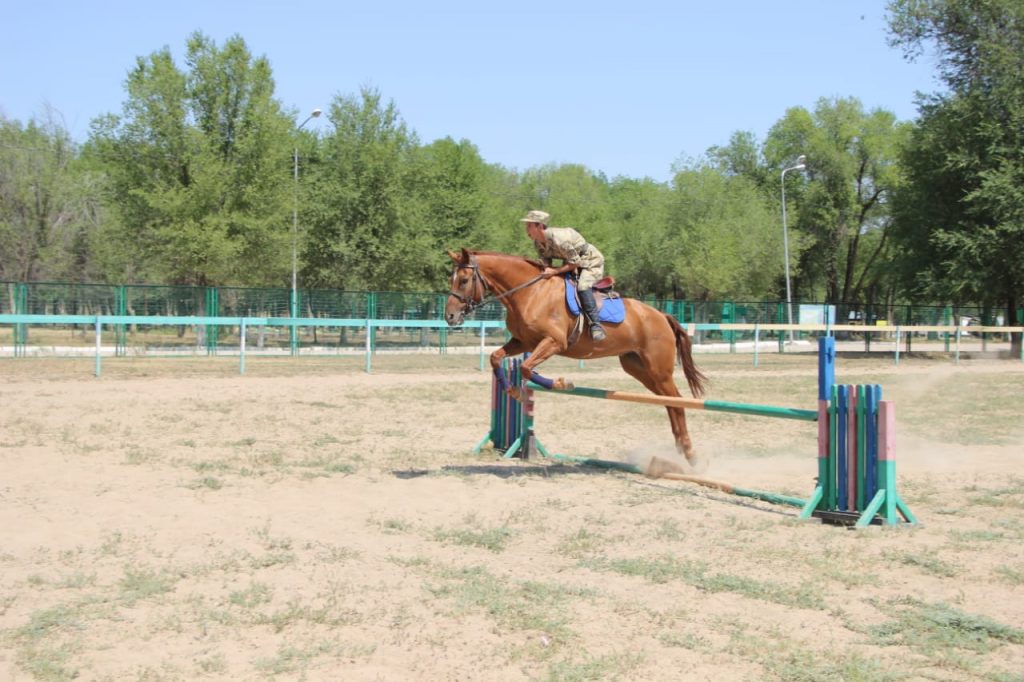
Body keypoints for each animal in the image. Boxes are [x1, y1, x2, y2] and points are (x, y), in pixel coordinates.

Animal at [444, 246, 708, 464]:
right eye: (452, 279)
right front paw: (513, 390)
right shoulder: (522, 342)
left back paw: (689, 452)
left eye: (464, 280)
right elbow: (496, 358)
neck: (530, 292)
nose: (450, 317)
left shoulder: (553, 342)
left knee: (677, 401)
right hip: (638, 368)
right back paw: (680, 450)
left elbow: (527, 368)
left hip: (658, 370)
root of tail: (662, 315)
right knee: (669, 401)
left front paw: (560, 383)